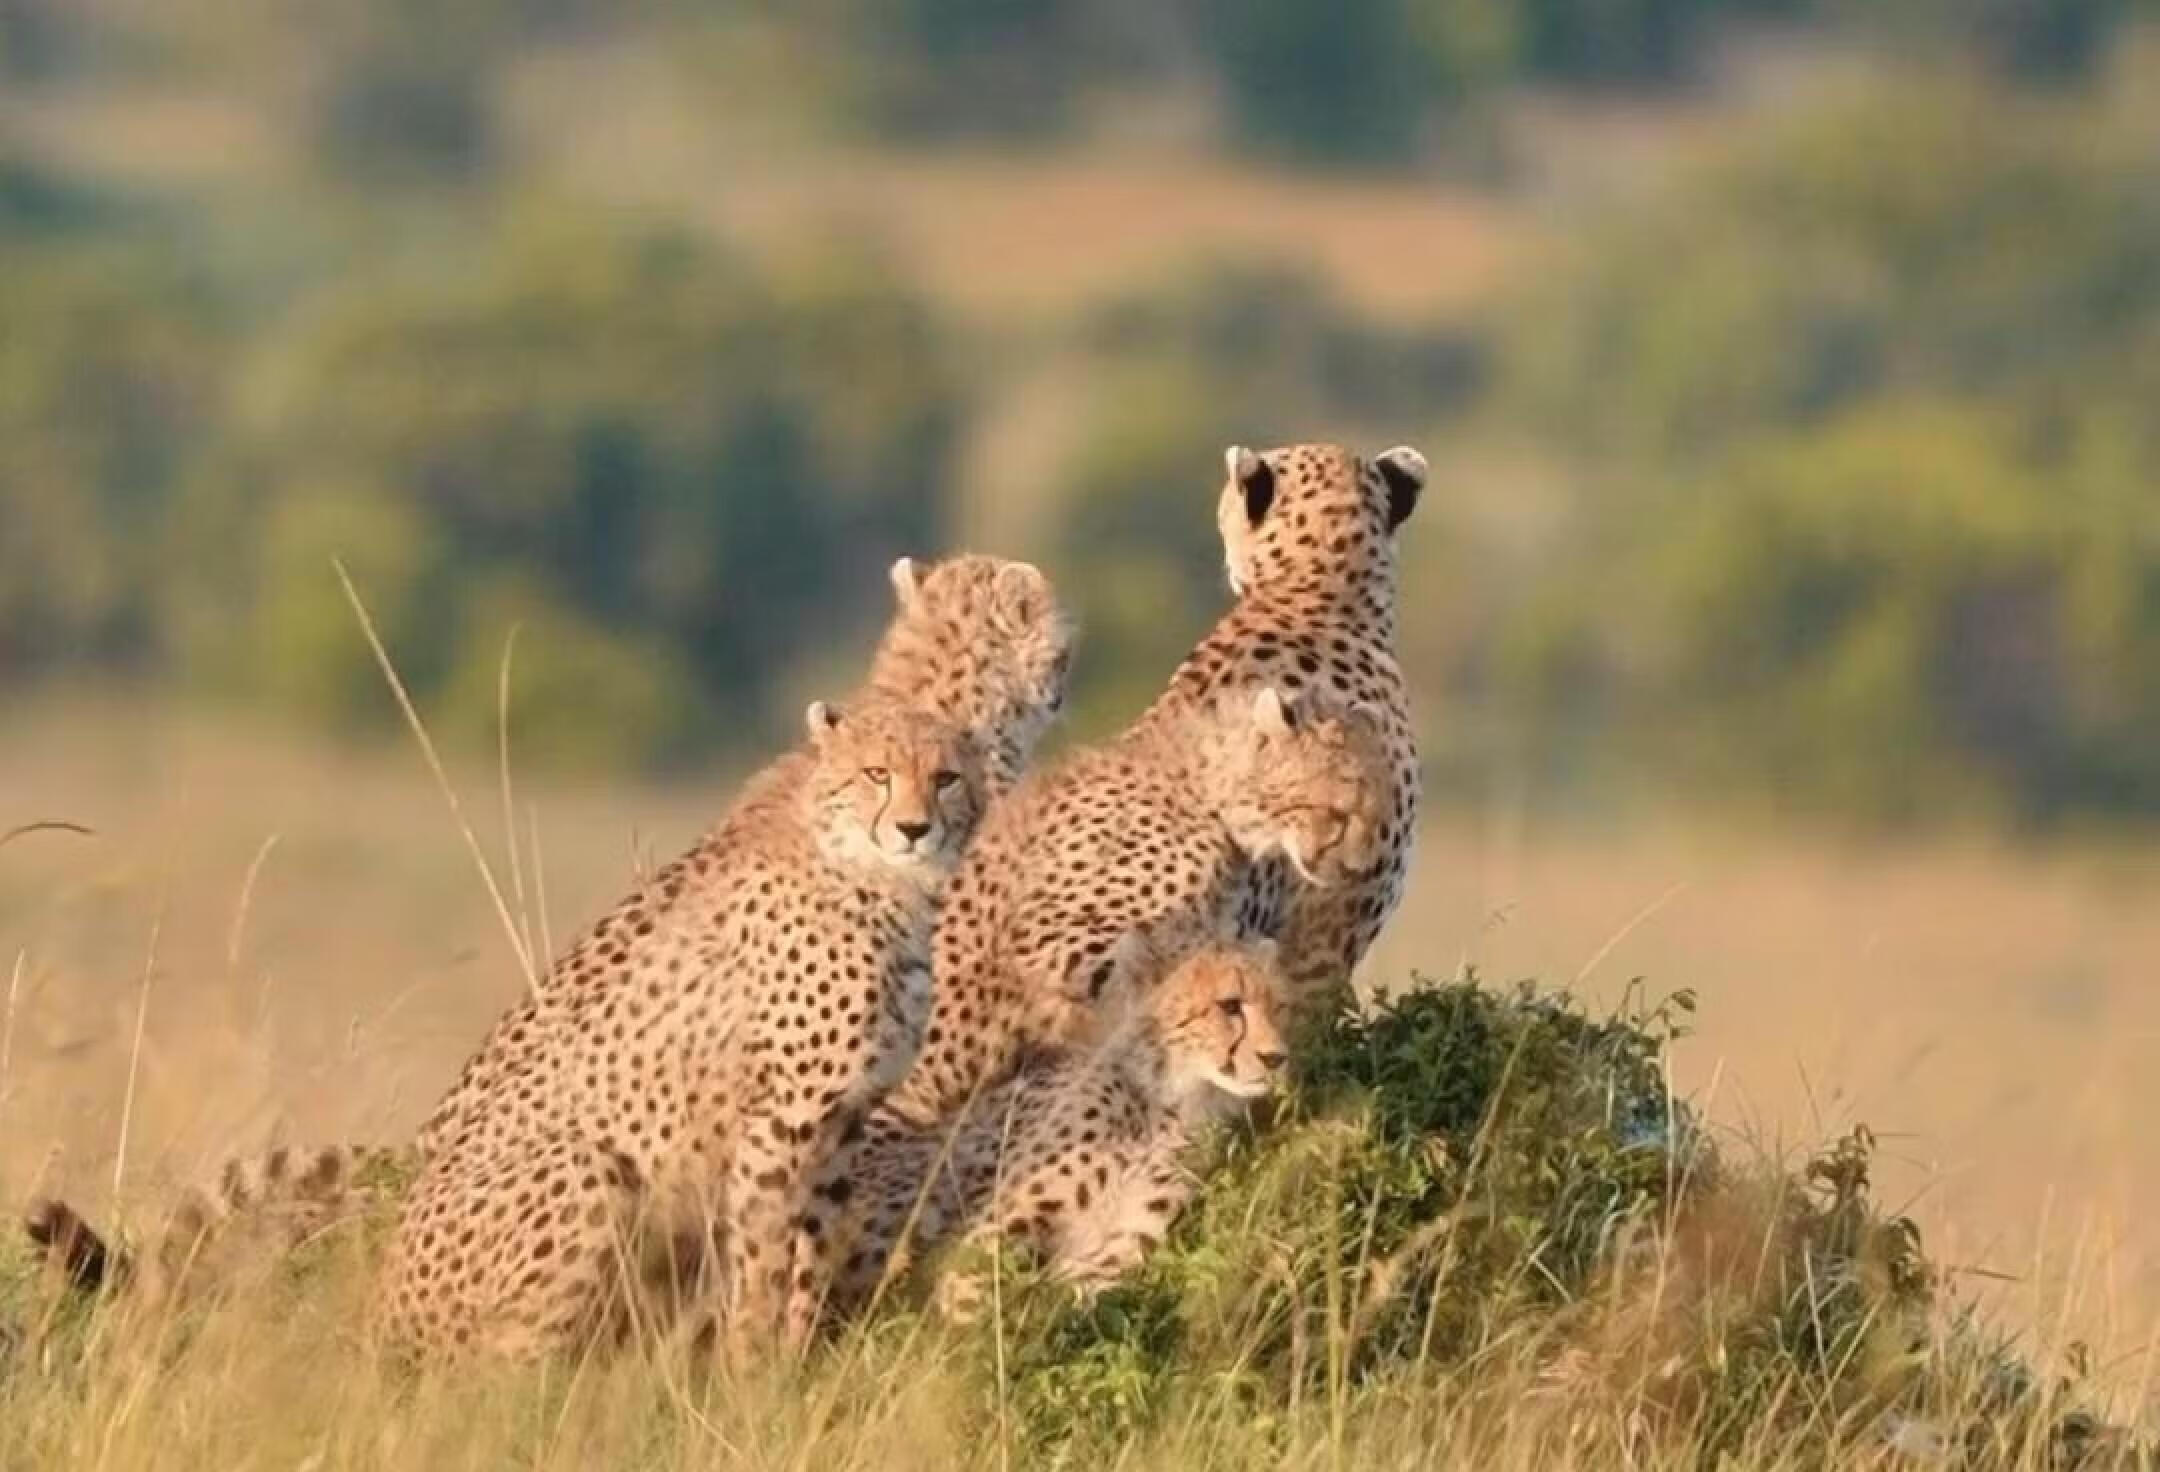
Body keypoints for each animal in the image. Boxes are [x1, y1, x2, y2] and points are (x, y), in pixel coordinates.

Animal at [833, 933, 1287, 1305]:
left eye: (1278, 1008)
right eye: (1229, 1006)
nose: (1277, 1058)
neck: (1170, 1103)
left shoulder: (1116, 1250)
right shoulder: (998, 1224)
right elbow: (972, 1294)